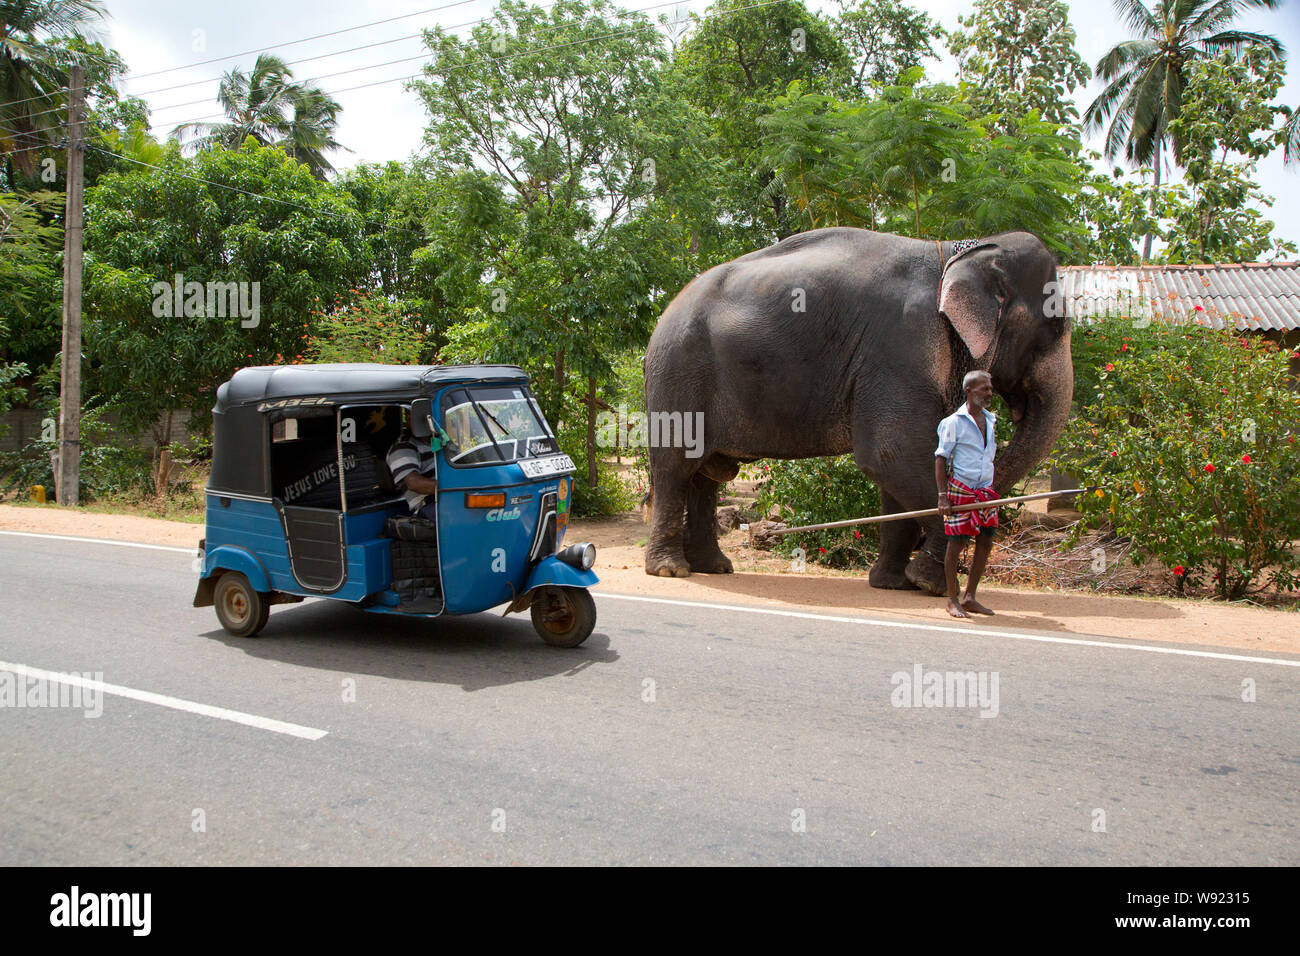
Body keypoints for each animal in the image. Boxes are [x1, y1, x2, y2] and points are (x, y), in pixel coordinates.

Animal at [642, 227, 1076, 595]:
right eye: (1053, 329)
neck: (957, 250)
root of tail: (666, 311)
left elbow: (898, 465)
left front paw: (894, 584)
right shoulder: (900, 344)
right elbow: (890, 452)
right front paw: (927, 582)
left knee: (707, 475)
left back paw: (714, 567)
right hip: (677, 375)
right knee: (675, 467)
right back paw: (671, 571)